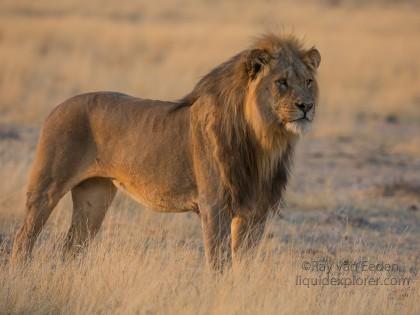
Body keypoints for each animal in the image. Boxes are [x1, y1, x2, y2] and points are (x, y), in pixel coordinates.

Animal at [10, 33, 322, 270]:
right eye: (282, 82)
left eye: (308, 81)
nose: (307, 106)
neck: (266, 141)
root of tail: (57, 107)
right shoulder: (214, 205)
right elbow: (219, 264)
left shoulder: (255, 211)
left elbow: (242, 266)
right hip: (47, 188)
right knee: (23, 239)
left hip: (94, 195)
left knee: (72, 246)